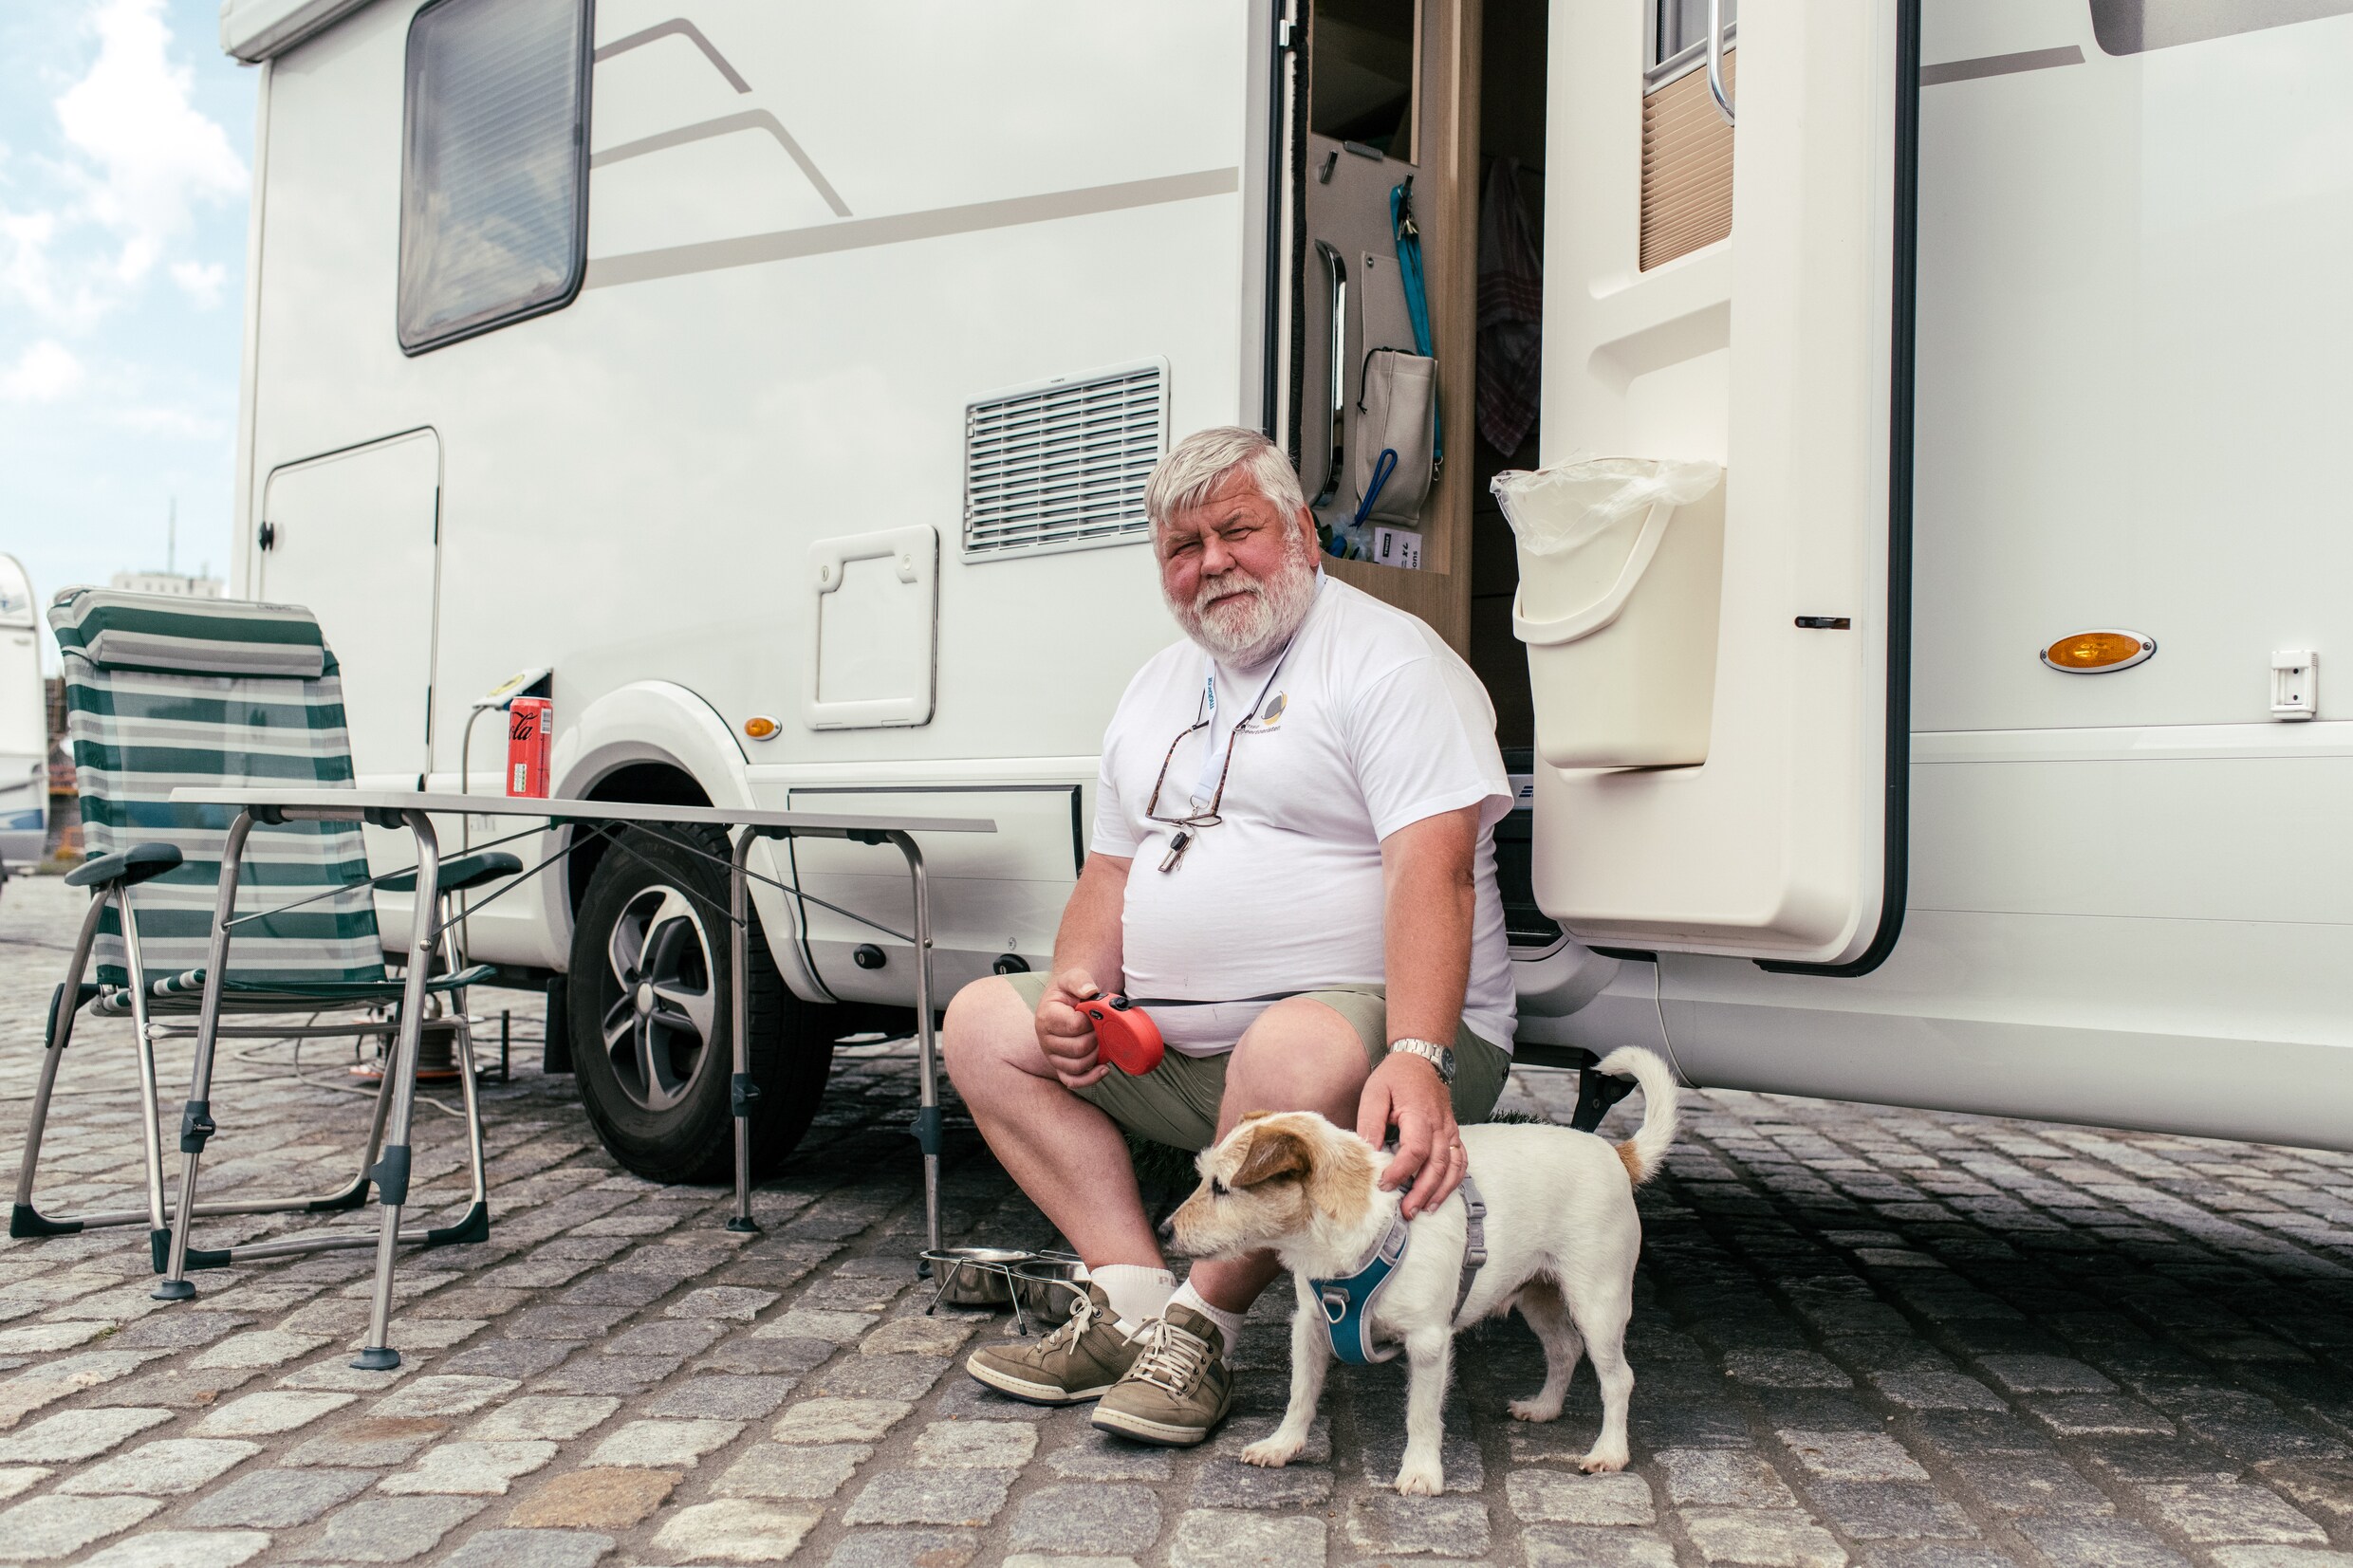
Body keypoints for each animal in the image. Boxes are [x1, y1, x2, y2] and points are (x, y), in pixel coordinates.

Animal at [1158, 1048, 1675, 1495]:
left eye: (1222, 1188)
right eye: (1205, 1180)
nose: (1164, 1230)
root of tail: (1615, 1153)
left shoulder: (1428, 1344)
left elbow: (1421, 1415)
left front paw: (1421, 1473)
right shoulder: (1309, 1326)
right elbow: (1301, 1393)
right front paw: (1283, 1445)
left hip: (1597, 1304)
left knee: (1618, 1378)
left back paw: (1610, 1451)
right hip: (1538, 1294)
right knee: (1564, 1348)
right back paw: (1545, 1408)